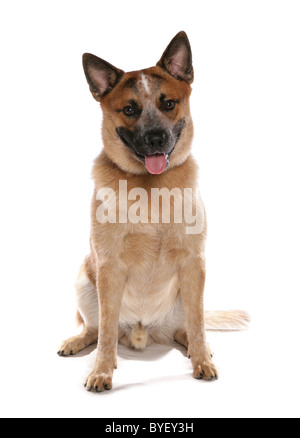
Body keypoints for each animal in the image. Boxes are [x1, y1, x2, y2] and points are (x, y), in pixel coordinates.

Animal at [57, 32, 250, 392]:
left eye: (168, 103)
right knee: (96, 329)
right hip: (84, 282)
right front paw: (101, 370)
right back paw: (79, 342)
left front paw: (202, 360)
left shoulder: (194, 263)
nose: (156, 137)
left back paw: (199, 348)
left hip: (186, 296)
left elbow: (198, 325)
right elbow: (105, 332)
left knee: (188, 327)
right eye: (130, 109)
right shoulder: (108, 267)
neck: (152, 192)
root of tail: (144, 331)